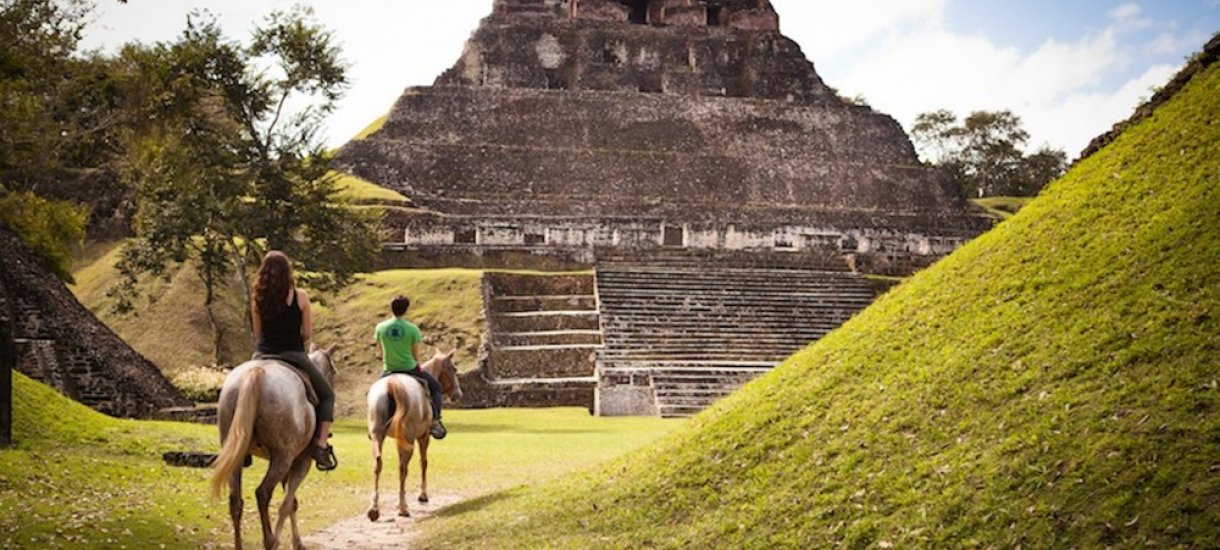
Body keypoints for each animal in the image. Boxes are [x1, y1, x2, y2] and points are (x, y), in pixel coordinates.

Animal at [366, 353, 461, 521]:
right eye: (454, 369)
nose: (459, 393)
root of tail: (392, 383)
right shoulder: (423, 437)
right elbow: (423, 463)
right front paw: (423, 495)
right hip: (408, 439)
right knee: (403, 468)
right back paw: (403, 508)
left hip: (379, 436)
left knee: (378, 463)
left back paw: (374, 509)